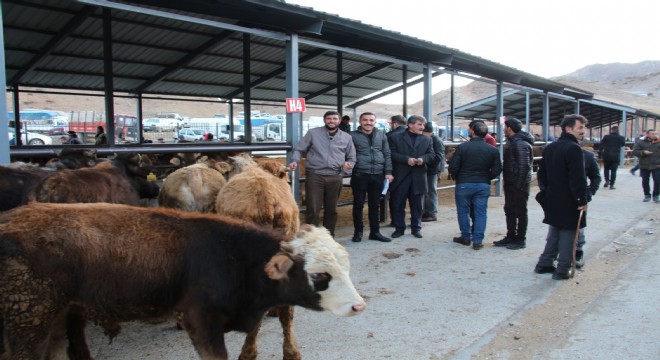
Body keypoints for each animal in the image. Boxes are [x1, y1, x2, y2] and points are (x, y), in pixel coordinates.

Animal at [0, 202, 366, 360]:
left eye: (346, 268)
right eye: (319, 275)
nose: (358, 306)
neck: (232, 256)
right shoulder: (200, 321)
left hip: (59, 316)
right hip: (27, 321)